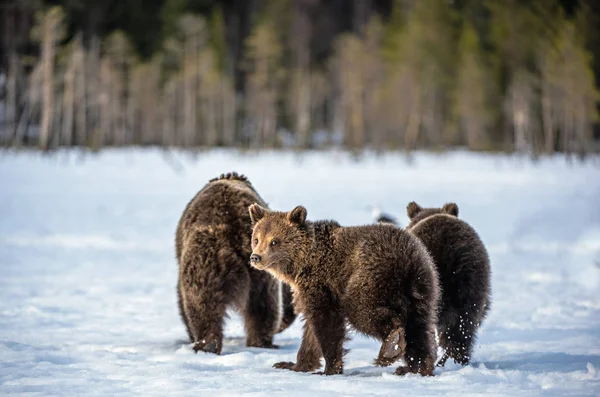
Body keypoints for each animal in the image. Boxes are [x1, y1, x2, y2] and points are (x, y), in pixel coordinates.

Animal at [173, 172, 296, 352]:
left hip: (205, 257)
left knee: (200, 302)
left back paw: (206, 343)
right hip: (257, 273)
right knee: (262, 308)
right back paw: (258, 342)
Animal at [246, 204, 438, 374]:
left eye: (274, 241)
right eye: (256, 239)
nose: (256, 257)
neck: (302, 263)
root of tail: (407, 260)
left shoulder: (321, 284)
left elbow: (327, 323)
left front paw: (329, 368)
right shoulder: (306, 290)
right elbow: (310, 330)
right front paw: (293, 365)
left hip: (369, 276)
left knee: (362, 311)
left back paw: (391, 348)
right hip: (422, 288)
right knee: (419, 327)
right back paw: (416, 367)